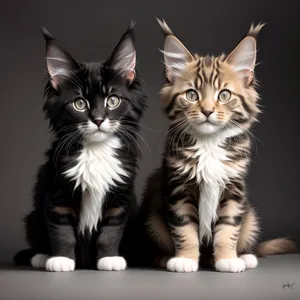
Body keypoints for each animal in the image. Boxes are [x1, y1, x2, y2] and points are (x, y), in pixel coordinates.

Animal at [14, 24, 148, 272]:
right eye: (79, 104)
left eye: (112, 100)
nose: (98, 119)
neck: (95, 151)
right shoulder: (57, 190)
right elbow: (62, 230)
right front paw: (61, 259)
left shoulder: (121, 195)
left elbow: (111, 231)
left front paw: (109, 258)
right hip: (32, 218)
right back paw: (41, 256)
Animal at [140, 19, 296, 274]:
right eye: (191, 94)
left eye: (224, 95)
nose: (207, 111)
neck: (209, 144)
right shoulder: (178, 189)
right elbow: (185, 229)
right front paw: (185, 259)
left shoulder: (234, 189)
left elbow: (228, 228)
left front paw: (227, 259)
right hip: (152, 217)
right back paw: (167, 258)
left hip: (250, 215)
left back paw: (244, 256)